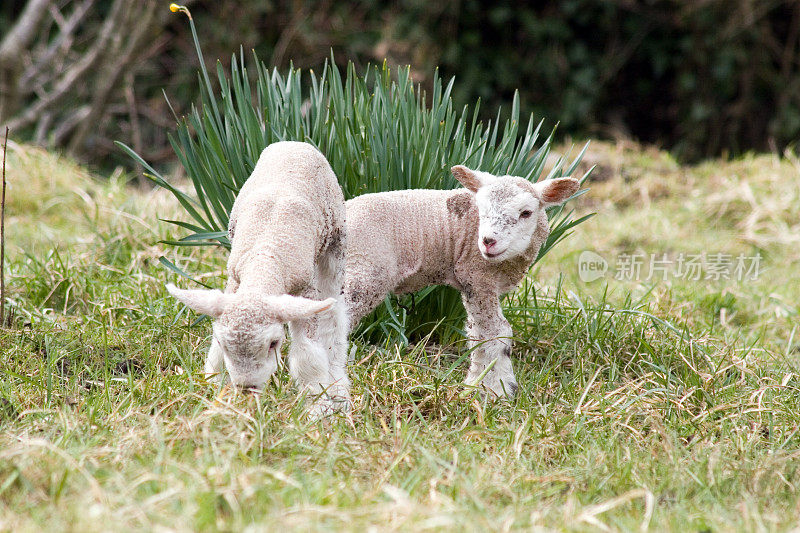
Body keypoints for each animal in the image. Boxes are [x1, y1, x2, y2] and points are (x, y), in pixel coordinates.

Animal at [164, 141, 348, 416]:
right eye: (223, 343)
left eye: (273, 343)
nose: (246, 388)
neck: (266, 255)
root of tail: (294, 143)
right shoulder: (234, 280)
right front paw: (215, 387)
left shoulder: (304, 288)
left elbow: (307, 351)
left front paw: (316, 403)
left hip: (336, 240)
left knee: (334, 315)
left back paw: (338, 384)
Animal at [342, 164, 576, 396]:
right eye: (481, 210)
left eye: (526, 213)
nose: (488, 241)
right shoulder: (476, 273)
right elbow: (497, 331)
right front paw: (500, 388)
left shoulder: (473, 282)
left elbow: (477, 333)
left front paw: (476, 383)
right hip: (365, 267)